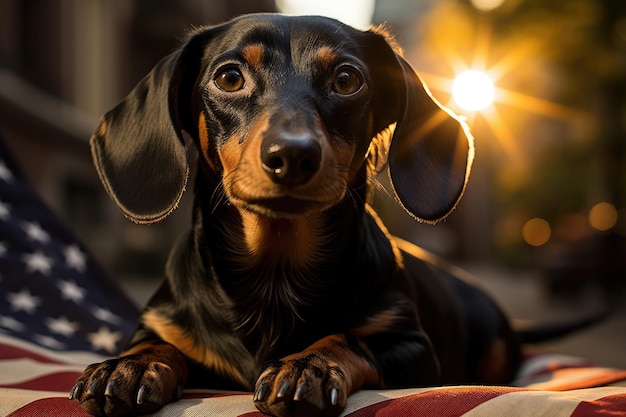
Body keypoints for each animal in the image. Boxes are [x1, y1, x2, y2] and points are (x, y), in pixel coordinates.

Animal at [70, 13, 520, 416]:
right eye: (229, 78)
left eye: (346, 79)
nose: (291, 155)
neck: (275, 275)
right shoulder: (159, 322)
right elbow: (156, 341)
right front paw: (132, 365)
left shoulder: (413, 346)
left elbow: (347, 337)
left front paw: (308, 365)